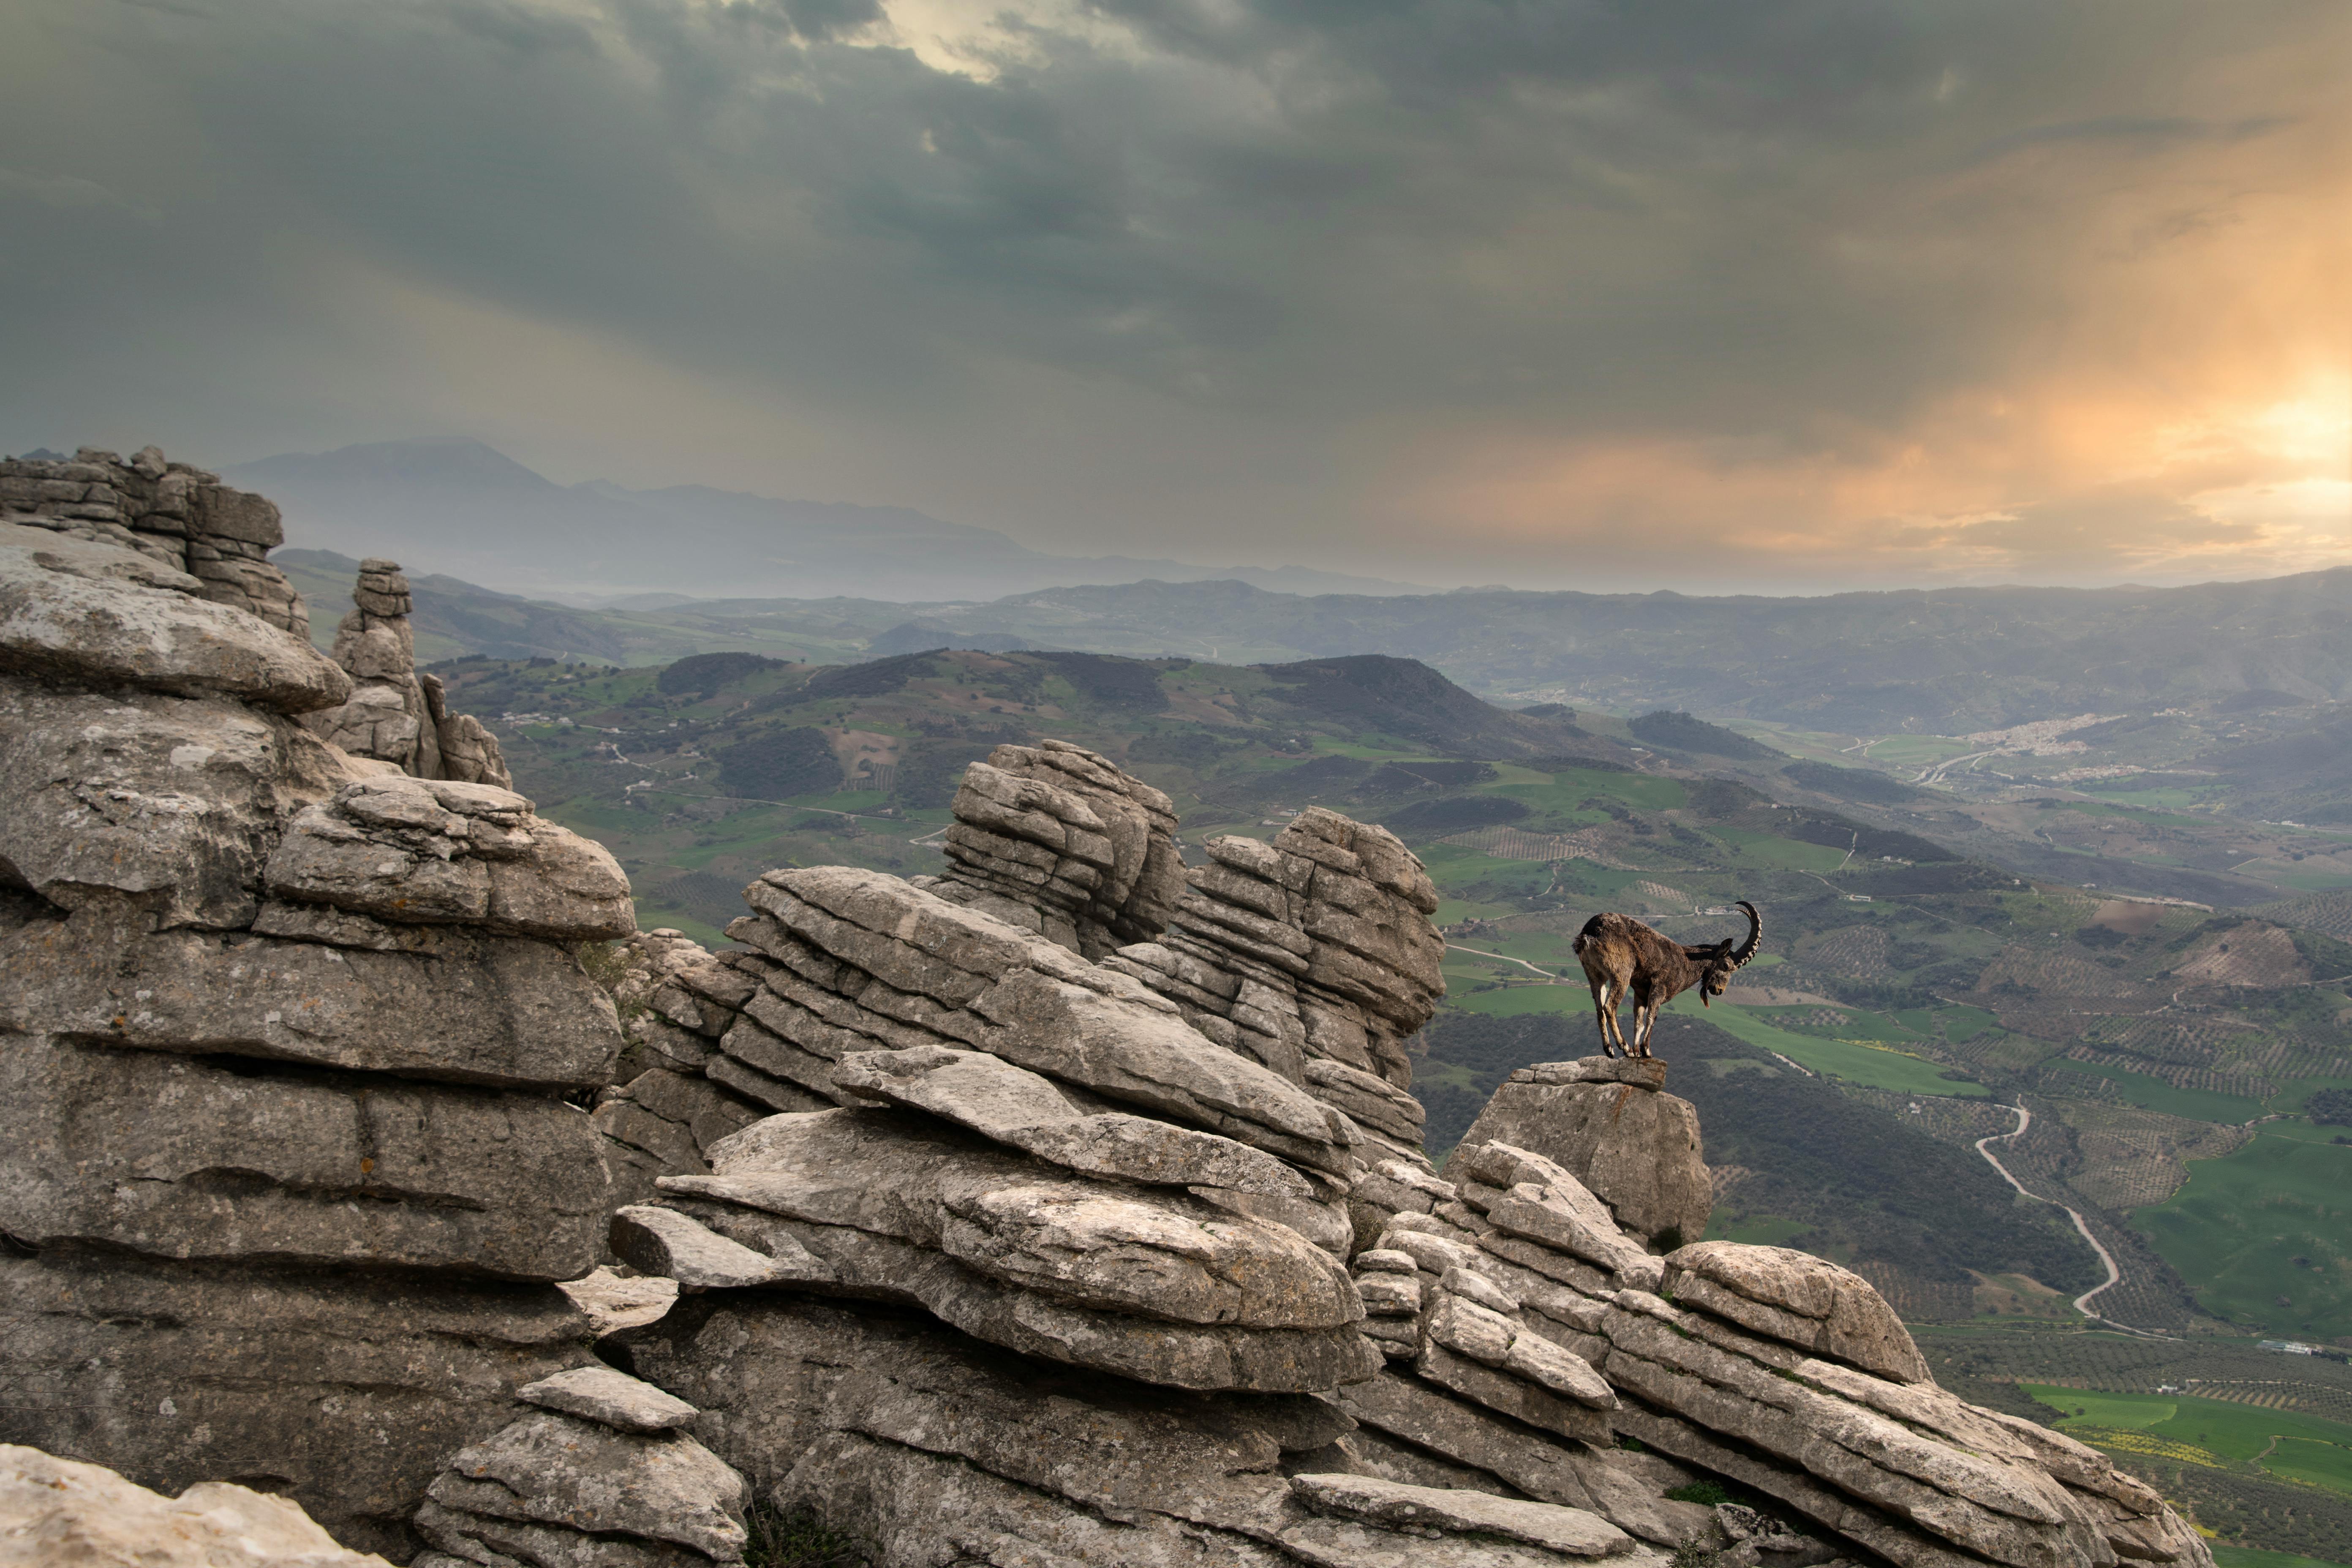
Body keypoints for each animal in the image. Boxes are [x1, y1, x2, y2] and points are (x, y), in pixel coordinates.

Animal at [1571, 903, 1759, 1062]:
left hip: (1595, 976)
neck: (1687, 961)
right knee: (1609, 1007)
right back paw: (1624, 1047)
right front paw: (1646, 1051)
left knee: (1599, 1009)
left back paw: (1610, 1049)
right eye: (1726, 965)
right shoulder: (1660, 987)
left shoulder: (1641, 992)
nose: (1719, 990)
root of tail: (1589, 934)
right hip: (1621, 974)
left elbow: (1638, 1021)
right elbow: (1652, 1017)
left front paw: (1637, 1051)